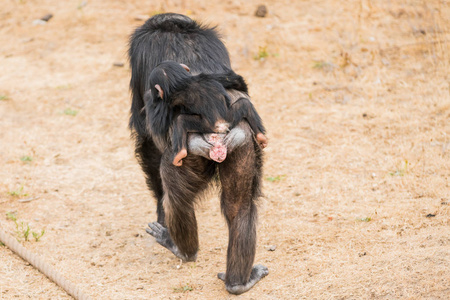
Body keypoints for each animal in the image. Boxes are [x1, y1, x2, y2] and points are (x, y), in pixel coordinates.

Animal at [127, 12, 268, 294]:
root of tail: (220, 135)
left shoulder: (139, 53)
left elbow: (147, 134)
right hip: (242, 148)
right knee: (240, 208)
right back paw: (239, 282)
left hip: (188, 156)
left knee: (176, 198)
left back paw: (181, 249)